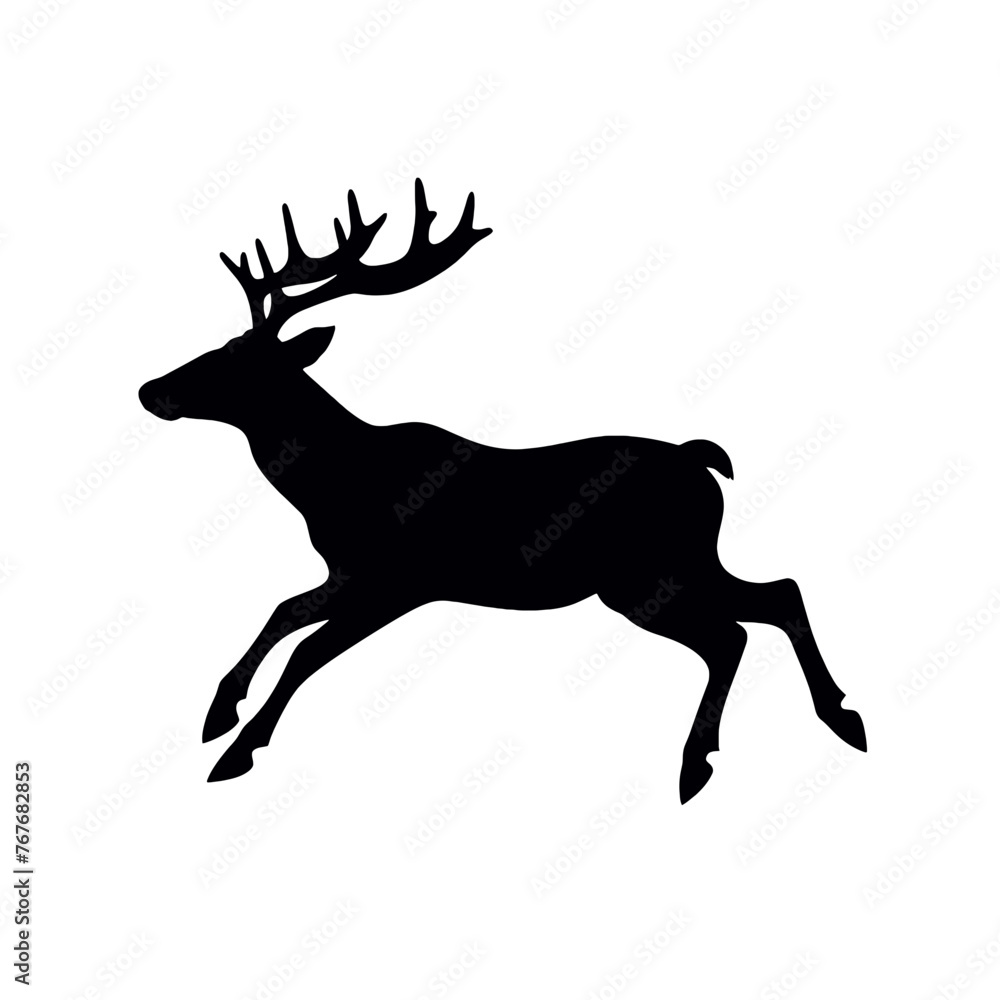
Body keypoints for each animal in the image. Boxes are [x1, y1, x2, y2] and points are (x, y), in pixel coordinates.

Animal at [139, 180, 866, 802]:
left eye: (238, 362)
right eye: (219, 345)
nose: (150, 390)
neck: (336, 483)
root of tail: (702, 462)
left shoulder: (404, 579)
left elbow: (307, 649)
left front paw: (236, 751)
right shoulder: (349, 572)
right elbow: (284, 611)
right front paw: (218, 711)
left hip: (644, 575)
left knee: (733, 631)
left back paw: (701, 761)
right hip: (677, 566)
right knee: (774, 597)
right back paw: (837, 717)